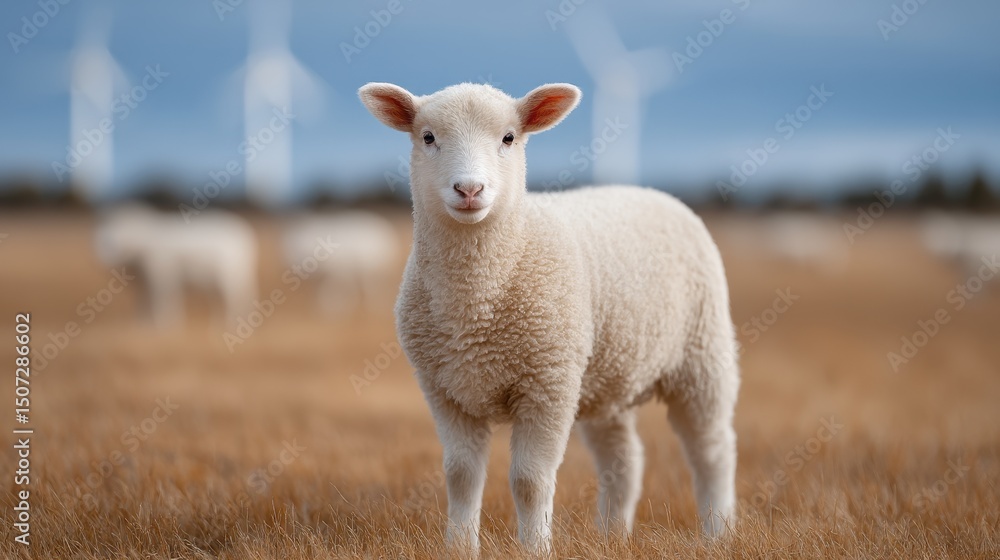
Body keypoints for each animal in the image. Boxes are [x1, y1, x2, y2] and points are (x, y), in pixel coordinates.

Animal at [95, 204, 258, 327]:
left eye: (115, 238)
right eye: (103, 239)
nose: (105, 258)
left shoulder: (164, 276)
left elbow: (164, 300)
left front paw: (165, 324)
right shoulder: (145, 283)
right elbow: (143, 303)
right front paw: (143, 325)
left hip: (229, 275)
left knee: (235, 297)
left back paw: (232, 321)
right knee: (231, 298)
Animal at [359, 82, 739, 555]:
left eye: (509, 138)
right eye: (427, 137)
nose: (469, 189)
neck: (475, 307)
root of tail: (653, 191)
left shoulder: (547, 385)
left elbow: (530, 481)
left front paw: (534, 549)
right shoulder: (446, 392)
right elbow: (461, 476)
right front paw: (459, 549)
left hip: (702, 354)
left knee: (712, 449)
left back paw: (718, 533)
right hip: (605, 376)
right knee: (624, 459)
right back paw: (612, 536)